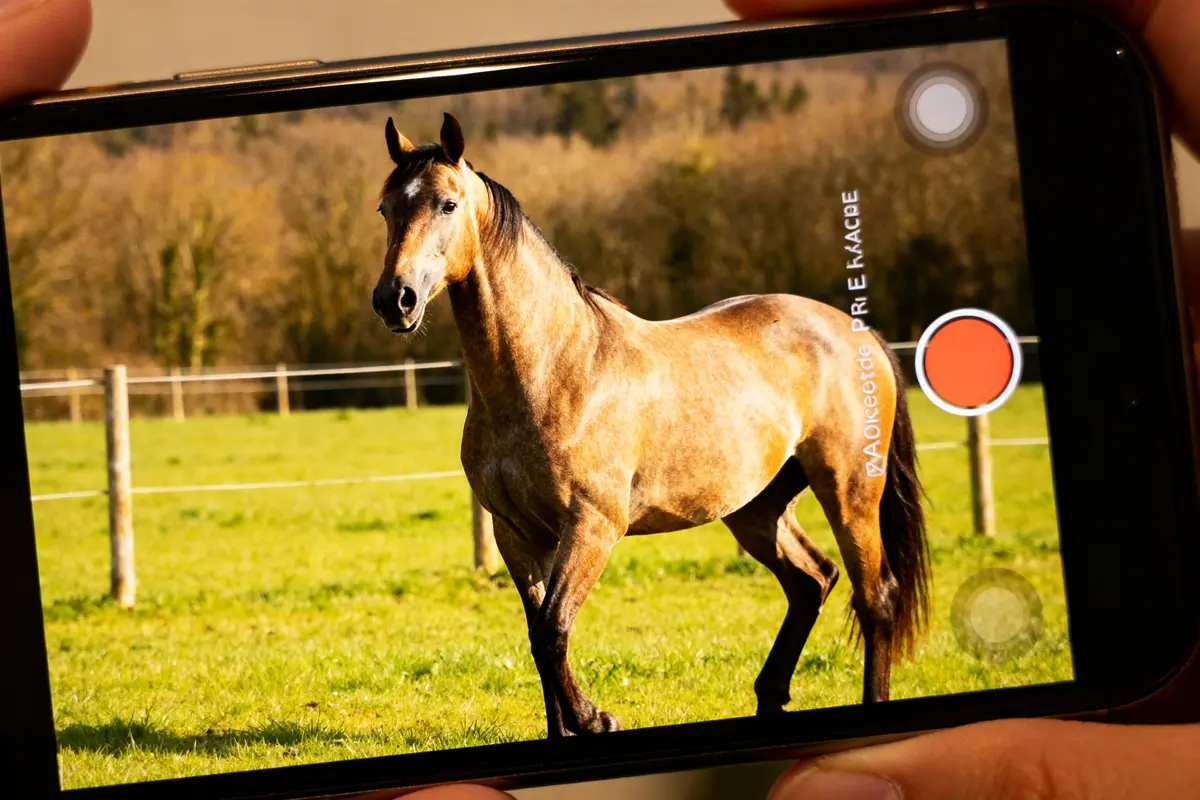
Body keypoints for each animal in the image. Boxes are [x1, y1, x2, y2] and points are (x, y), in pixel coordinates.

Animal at [371, 113, 930, 738]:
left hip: (849, 490)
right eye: (385, 208)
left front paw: (596, 720)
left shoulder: (593, 525)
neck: (556, 369)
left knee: (875, 598)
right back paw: (769, 696)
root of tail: (858, 333)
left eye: (447, 204)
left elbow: (553, 629)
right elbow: (539, 638)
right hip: (757, 508)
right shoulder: (515, 533)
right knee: (812, 581)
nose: (395, 299)